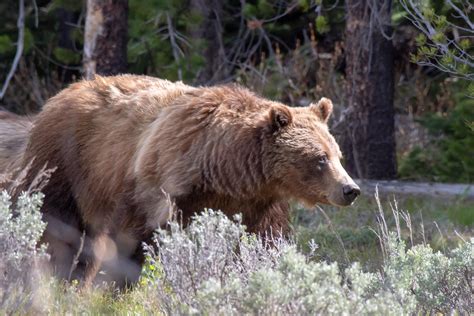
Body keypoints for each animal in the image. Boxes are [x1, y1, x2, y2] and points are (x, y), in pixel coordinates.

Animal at [0, 74, 360, 286]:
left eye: (338, 154)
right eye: (320, 158)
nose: (350, 189)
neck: (224, 168)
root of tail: (60, 93)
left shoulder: (258, 201)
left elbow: (264, 242)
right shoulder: (162, 181)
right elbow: (134, 237)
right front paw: (118, 284)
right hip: (67, 163)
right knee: (55, 223)